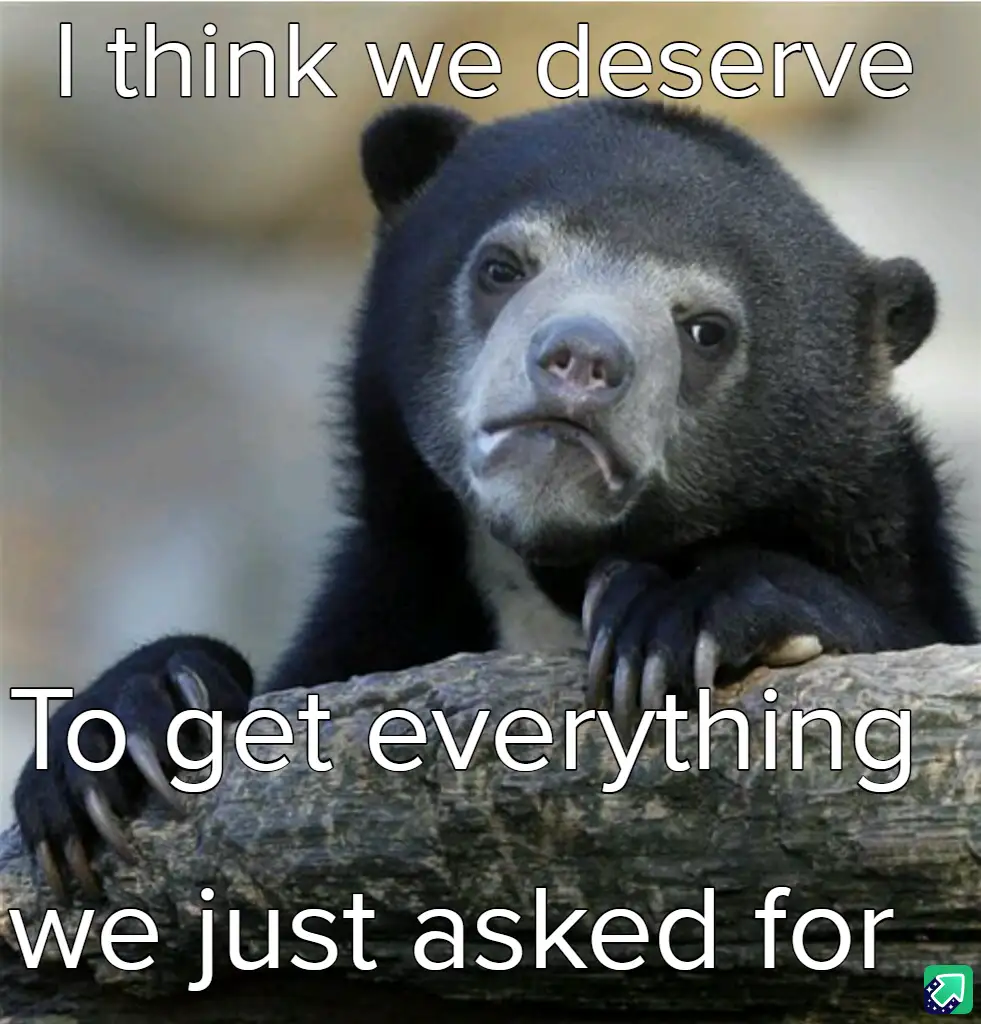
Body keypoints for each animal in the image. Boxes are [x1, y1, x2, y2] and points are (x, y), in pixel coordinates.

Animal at [12, 98, 979, 902]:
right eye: (501, 267)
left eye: (706, 330)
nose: (581, 360)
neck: (547, 573)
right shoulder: (396, 592)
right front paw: (124, 734)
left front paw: (672, 615)